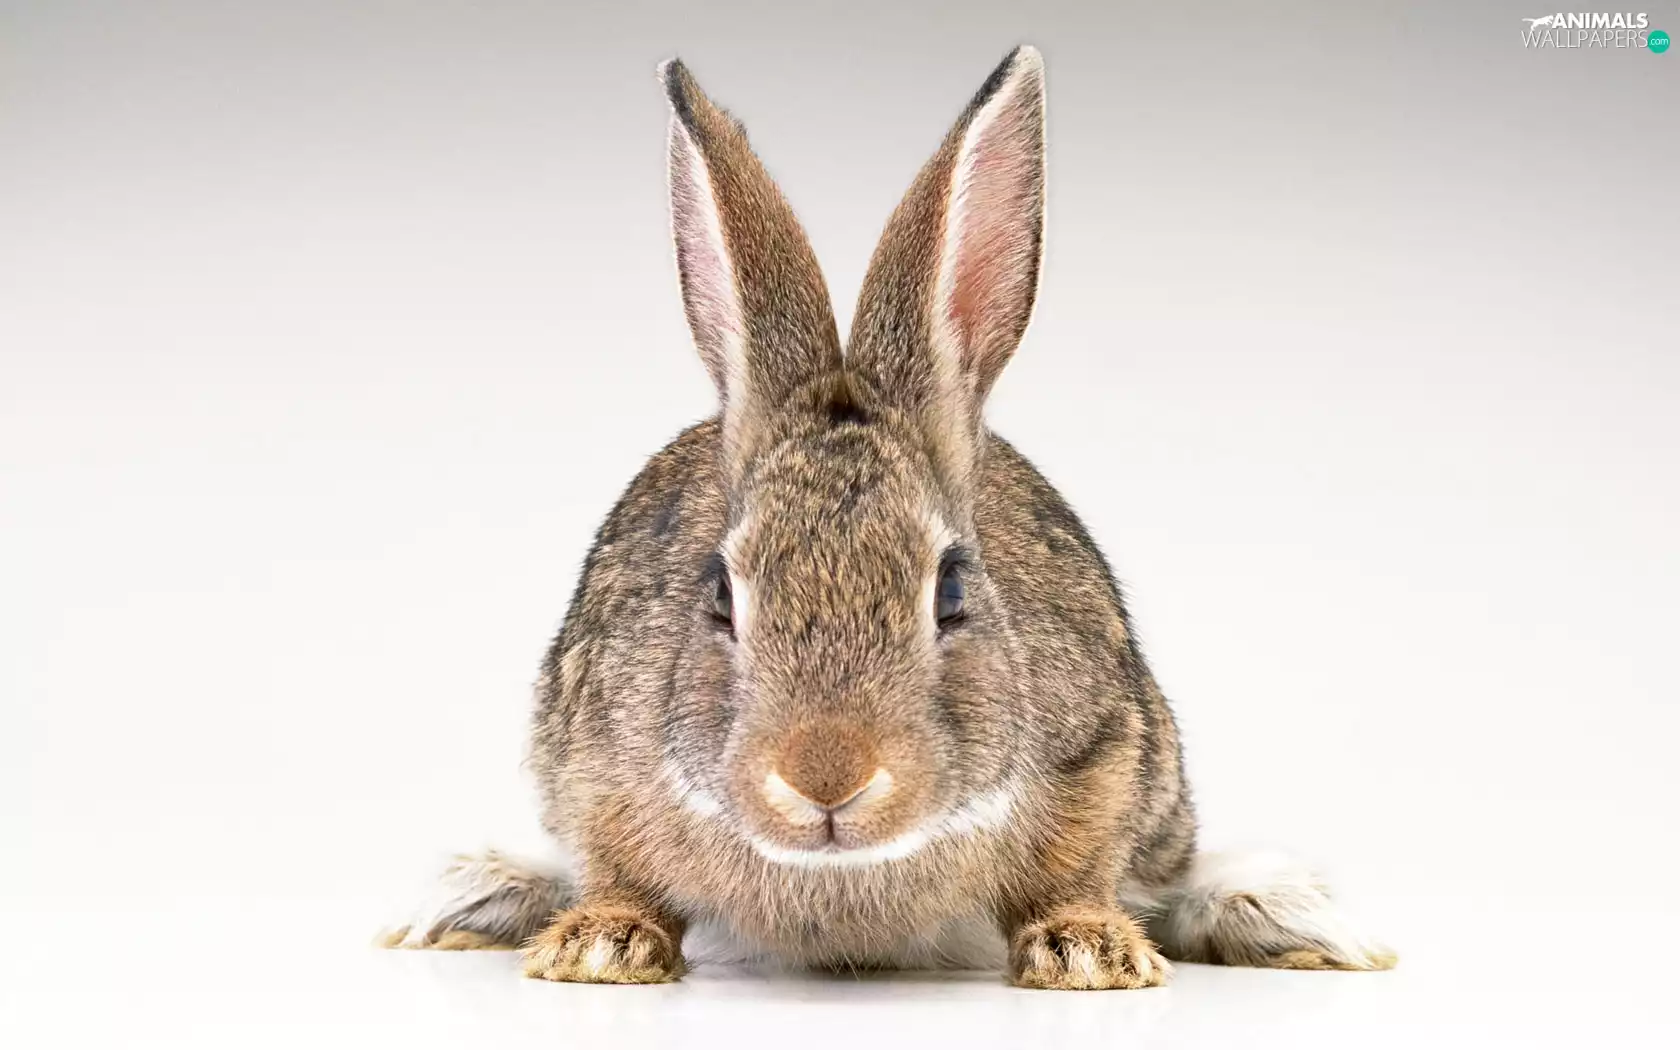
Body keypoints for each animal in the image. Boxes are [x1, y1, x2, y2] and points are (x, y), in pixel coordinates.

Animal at [381, 45, 1395, 989]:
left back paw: (1288, 916)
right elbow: (617, 867)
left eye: (950, 591)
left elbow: (1077, 870)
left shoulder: (1105, 754)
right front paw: (601, 946)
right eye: (721, 595)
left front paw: (1088, 953)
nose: (826, 777)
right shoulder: (595, 761)